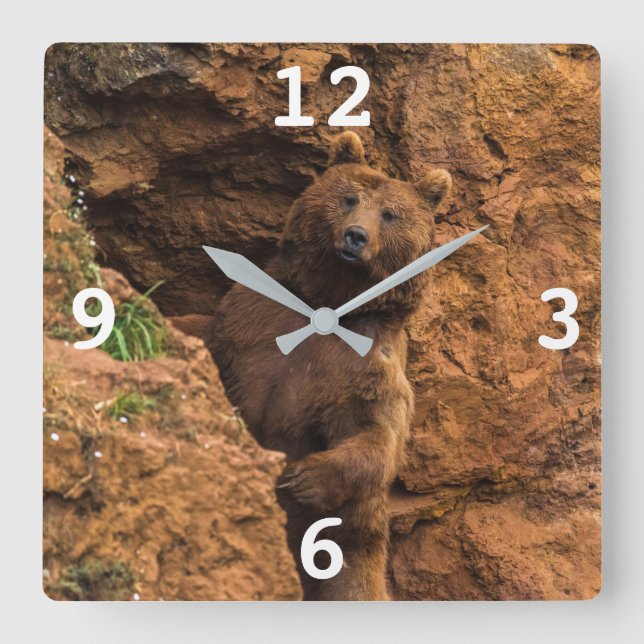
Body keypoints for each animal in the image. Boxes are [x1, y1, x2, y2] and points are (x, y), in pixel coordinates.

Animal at [204, 132, 452, 600]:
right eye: (348, 198)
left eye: (389, 214)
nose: (356, 236)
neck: (331, 304)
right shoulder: (251, 319)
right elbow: (209, 338)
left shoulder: (365, 369)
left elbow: (377, 436)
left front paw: (303, 478)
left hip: (348, 554)